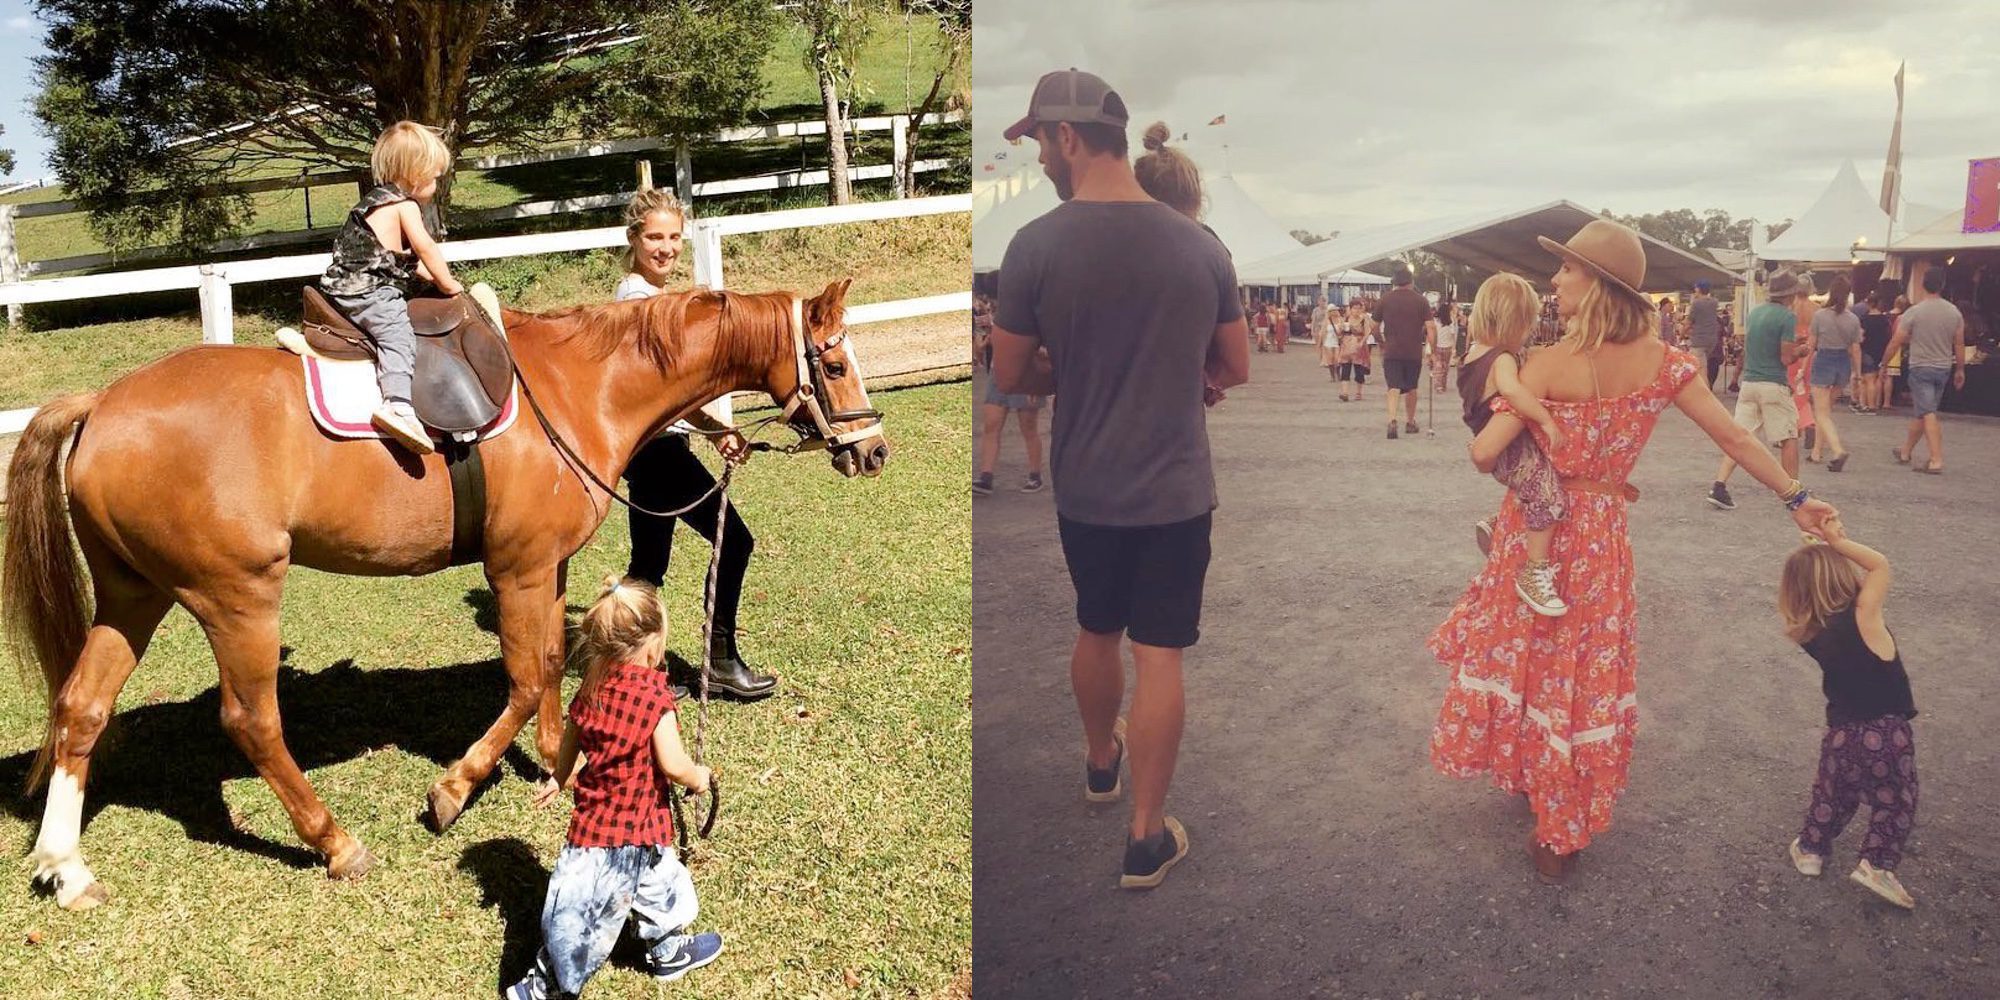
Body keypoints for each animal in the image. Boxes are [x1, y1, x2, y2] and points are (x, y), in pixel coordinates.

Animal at [0, 278, 892, 912]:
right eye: (835, 362)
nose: (874, 449)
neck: (579, 385)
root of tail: (102, 405)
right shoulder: (516, 569)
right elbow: (525, 679)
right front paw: (455, 789)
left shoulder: (546, 567)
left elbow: (551, 665)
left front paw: (558, 764)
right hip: (236, 598)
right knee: (251, 720)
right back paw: (333, 842)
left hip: (134, 595)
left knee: (80, 707)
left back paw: (64, 866)